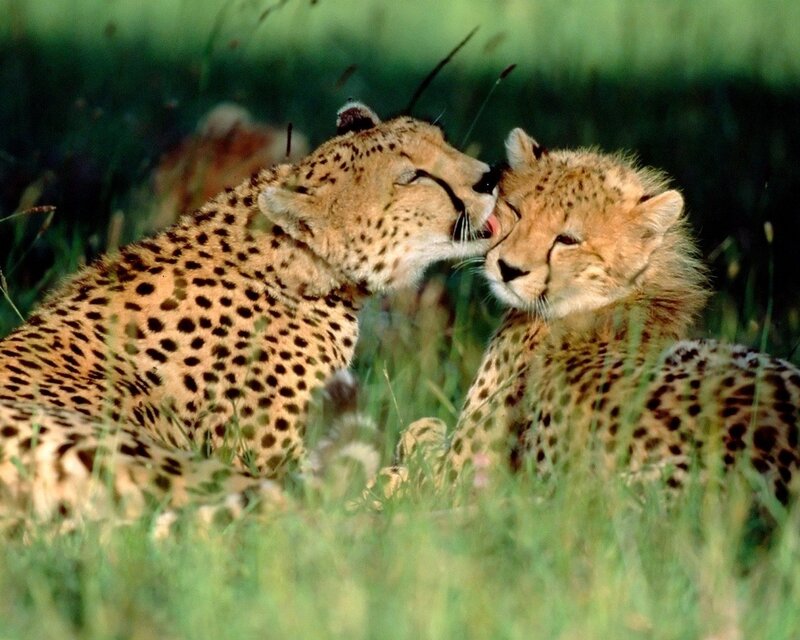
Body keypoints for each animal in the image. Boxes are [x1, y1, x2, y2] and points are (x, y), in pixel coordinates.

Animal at [0, 101, 500, 526]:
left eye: (441, 140)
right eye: (413, 177)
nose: (491, 177)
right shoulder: (271, 463)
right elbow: (380, 486)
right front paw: (431, 441)